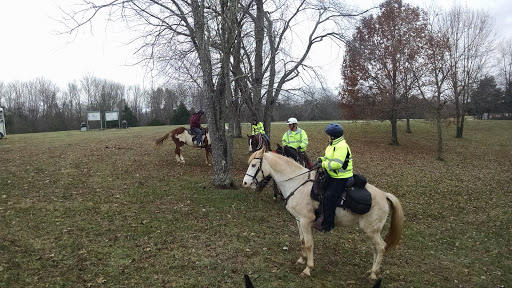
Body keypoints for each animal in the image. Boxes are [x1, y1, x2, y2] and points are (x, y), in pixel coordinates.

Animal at [241, 148, 404, 282]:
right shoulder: (299, 220)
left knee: (381, 247)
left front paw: (308, 268)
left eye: (254, 165)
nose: (245, 183)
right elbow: (302, 241)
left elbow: (309, 244)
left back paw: (374, 274)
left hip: (371, 230)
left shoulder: (306, 221)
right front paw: (301, 259)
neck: (297, 183)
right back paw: (371, 271)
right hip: (371, 232)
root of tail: (384, 195)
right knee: (376, 249)